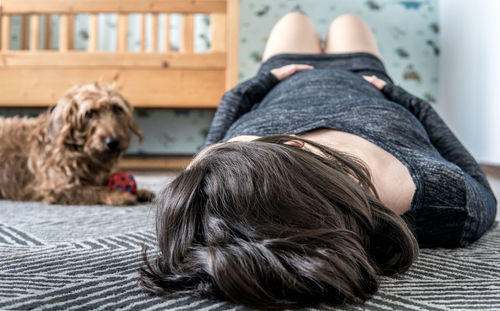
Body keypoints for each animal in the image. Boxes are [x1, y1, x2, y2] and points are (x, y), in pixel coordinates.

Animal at [0, 81, 154, 206]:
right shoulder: (56, 188)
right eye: (89, 113)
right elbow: (92, 190)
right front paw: (118, 195)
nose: (113, 142)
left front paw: (140, 191)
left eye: (117, 108)